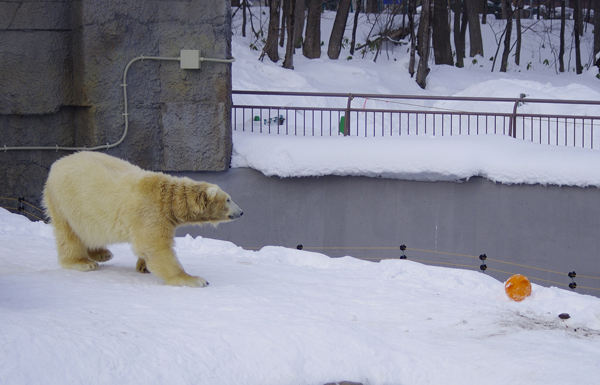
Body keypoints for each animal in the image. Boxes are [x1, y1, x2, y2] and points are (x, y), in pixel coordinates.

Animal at [41, 152, 243, 286]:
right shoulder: (150, 212)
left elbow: (147, 246)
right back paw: (83, 262)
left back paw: (102, 253)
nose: (241, 212)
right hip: (65, 202)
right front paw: (194, 279)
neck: (167, 199)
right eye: (228, 199)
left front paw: (143, 266)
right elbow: (156, 246)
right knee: (69, 234)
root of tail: (56, 164)